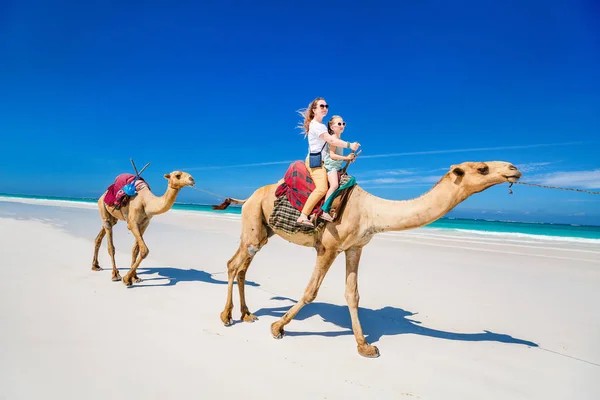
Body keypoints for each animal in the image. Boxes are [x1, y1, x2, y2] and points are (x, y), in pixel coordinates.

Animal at [214, 161, 520, 358]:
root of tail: (247, 197)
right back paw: (227, 316)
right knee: (233, 264)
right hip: (253, 223)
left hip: (263, 231)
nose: (514, 169)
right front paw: (278, 328)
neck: (371, 211)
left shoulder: (355, 248)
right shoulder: (328, 247)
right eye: (482, 168)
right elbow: (311, 291)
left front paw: (364, 346)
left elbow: (353, 294)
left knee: (242, 267)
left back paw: (246, 314)